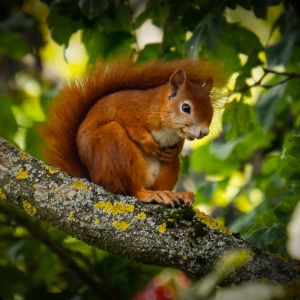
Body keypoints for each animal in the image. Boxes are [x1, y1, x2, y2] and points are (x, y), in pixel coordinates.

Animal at [41, 59, 226, 206]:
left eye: (210, 109)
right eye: (186, 107)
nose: (203, 132)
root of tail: (94, 178)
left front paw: (177, 149)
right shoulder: (126, 110)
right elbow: (135, 129)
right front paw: (150, 145)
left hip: (167, 169)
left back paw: (175, 193)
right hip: (114, 147)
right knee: (130, 190)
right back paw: (150, 194)